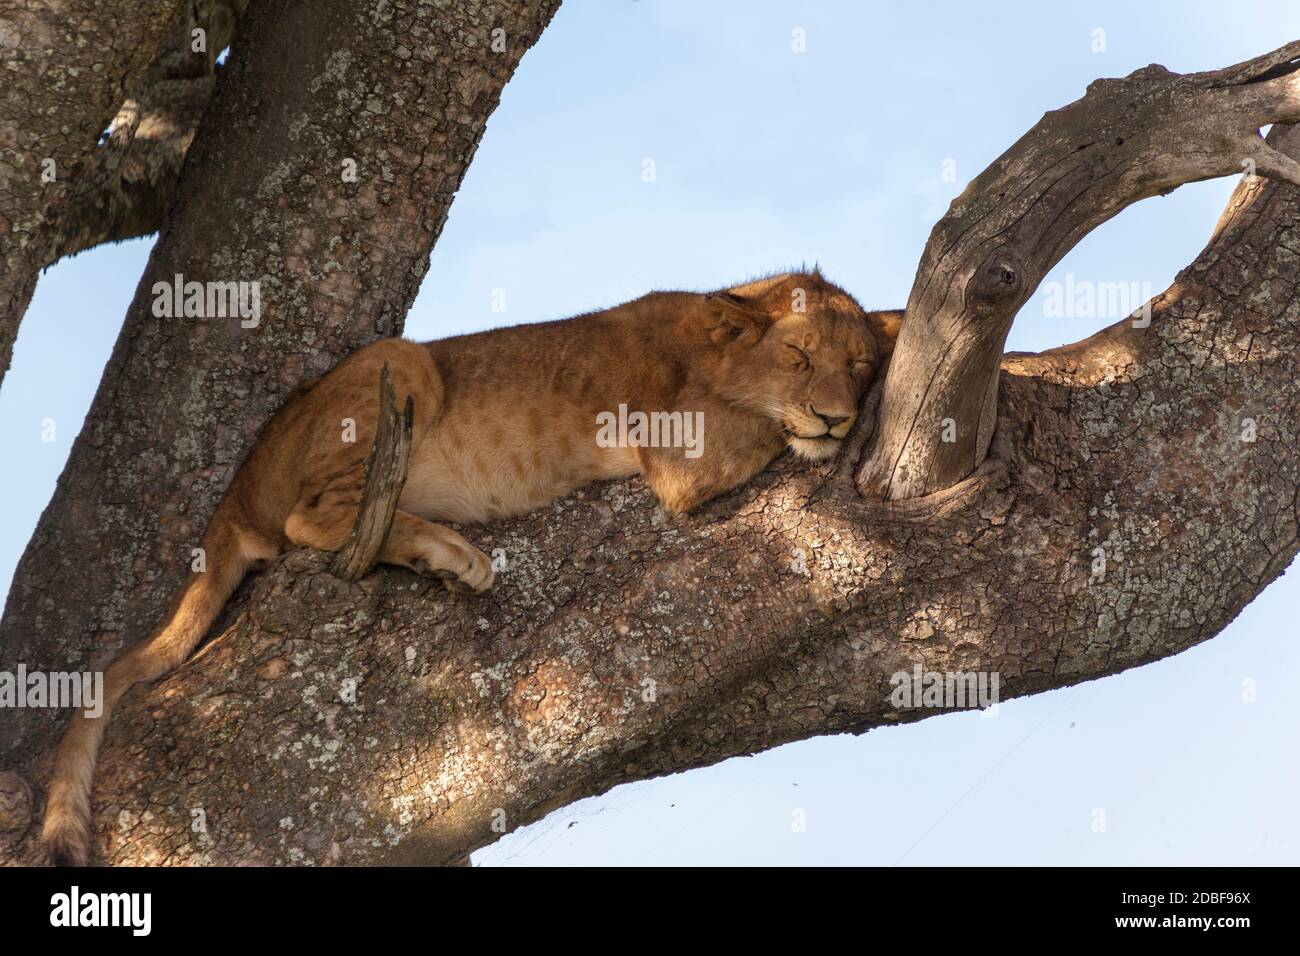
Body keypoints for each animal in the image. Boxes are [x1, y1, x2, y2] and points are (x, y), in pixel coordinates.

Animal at [38, 269, 894, 868]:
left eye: (857, 364)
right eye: (797, 356)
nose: (837, 416)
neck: (710, 349)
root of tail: (235, 494)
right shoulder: (677, 455)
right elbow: (765, 431)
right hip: (396, 367)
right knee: (309, 519)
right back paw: (451, 554)